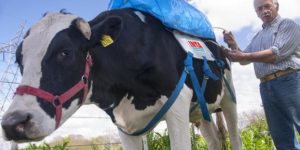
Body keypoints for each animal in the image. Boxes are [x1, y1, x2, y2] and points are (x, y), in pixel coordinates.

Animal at [1, 8, 243, 149]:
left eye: (65, 52)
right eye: (19, 60)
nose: (13, 123)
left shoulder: (178, 103)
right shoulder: (123, 122)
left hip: (228, 99)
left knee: (235, 137)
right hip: (200, 112)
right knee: (215, 141)